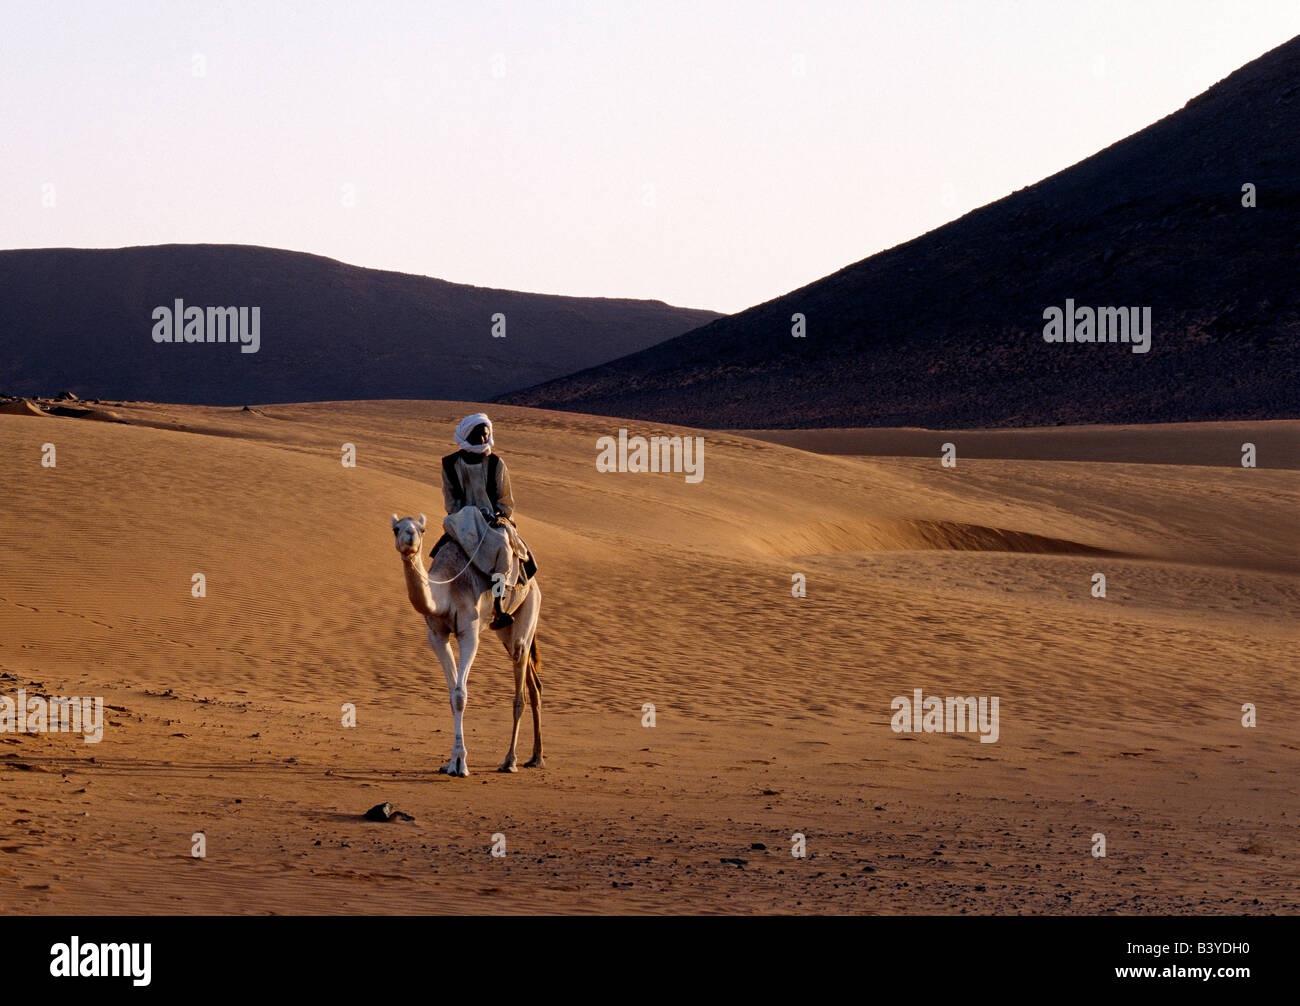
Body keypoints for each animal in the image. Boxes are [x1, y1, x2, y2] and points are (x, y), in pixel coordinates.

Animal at [390, 517, 543, 774]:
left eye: (422, 529)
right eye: (396, 529)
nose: (409, 537)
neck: (446, 588)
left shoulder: (469, 633)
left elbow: (461, 695)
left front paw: (461, 764)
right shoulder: (436, 636)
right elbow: (453, 695)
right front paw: (451, 762)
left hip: (529, 607)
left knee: (520, 685)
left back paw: (510, 760)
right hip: (504, 631)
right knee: (534, 684)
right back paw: (536, 757)